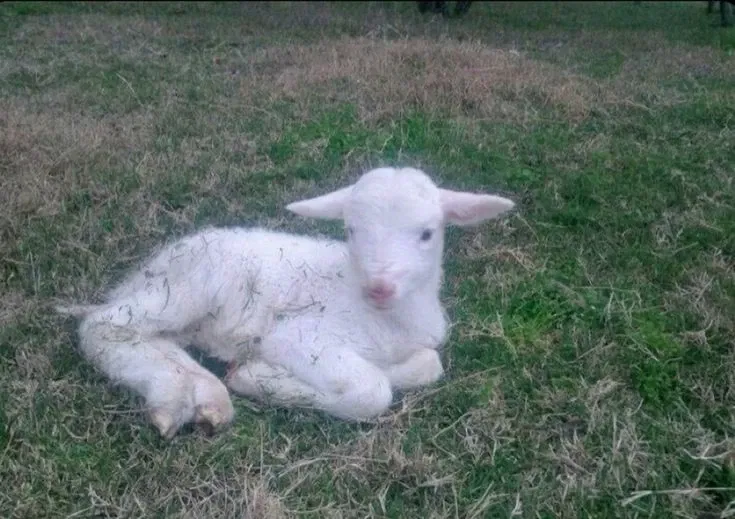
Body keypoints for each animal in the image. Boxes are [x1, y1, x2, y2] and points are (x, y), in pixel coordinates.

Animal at [58, 167, 515, 439]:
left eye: (426, 233)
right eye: (351, 230)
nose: (380, 287)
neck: (387, 319)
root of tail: (144, 270)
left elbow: (428, 365)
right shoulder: (297, 338)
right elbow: (372, 391)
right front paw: (259, 378)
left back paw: (198, 396)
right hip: (186, 288)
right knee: (104, 326)